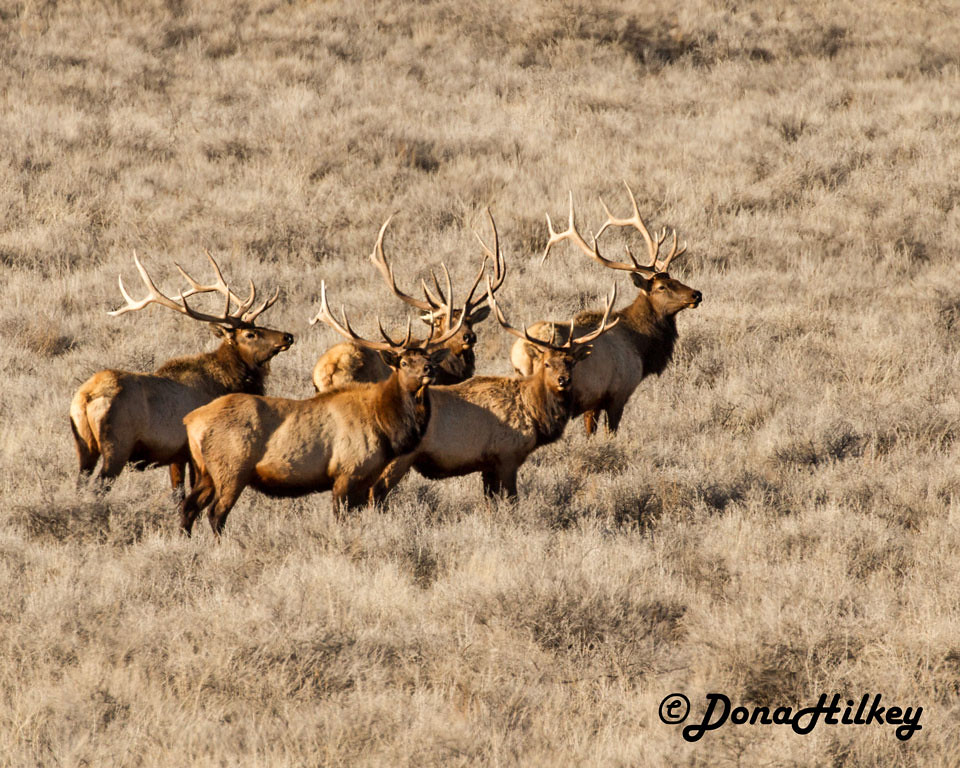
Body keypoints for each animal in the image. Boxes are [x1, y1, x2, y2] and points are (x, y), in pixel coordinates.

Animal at [69, 253, 293, 496]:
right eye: (250, 334)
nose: (287, 336)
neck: (226, 383)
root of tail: (86, 397)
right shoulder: (191, 449)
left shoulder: (175, 456)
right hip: (117, 446)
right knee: (98, 487)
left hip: (84, 447)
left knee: (80, 483)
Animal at [179, 272, 465, 539]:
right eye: (404, 362)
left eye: (427, 357)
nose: (429, 369)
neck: (385, 427)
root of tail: (191, 421)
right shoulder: (345, 471)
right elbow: (340, 517)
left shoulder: (367, 477)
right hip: (231, 468)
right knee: (215, 513)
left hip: (205, 471)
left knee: (188, 507)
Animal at [371, 280, 619, 502]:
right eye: (547, 363)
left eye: (571, 362)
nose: (563, 380)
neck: (534, 414)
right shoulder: (507, 456)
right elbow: (512, 500)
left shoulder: (488, 464)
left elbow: (489, 502)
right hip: (399, 457)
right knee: (376, 491)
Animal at [510, 183, 702, 435]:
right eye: (661, 287)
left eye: (676, 279)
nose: (696, 294)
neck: (639, 345)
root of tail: (523, 351)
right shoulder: (616, 395)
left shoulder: (592, 402)